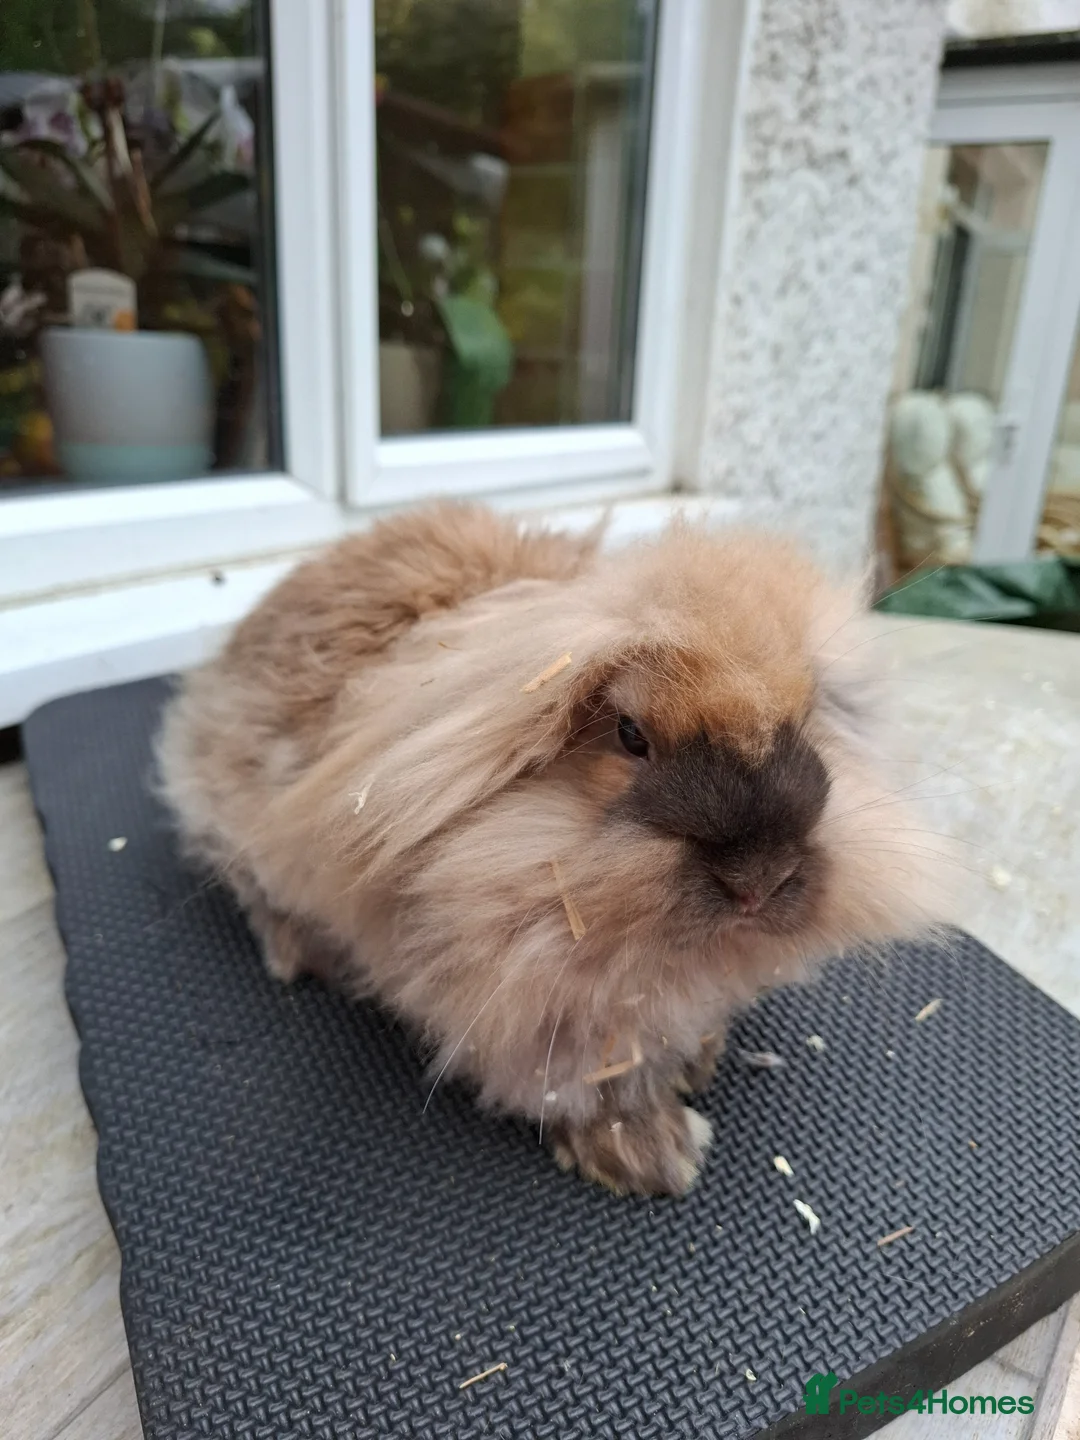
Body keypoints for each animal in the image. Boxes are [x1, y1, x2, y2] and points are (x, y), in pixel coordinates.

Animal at [157, 501, 948, 1198]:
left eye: (808, 718)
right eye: (630, 735)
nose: (759, 880)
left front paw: (697, 1060)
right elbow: (572, 1083)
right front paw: (651, 1154)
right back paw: (299, 956)